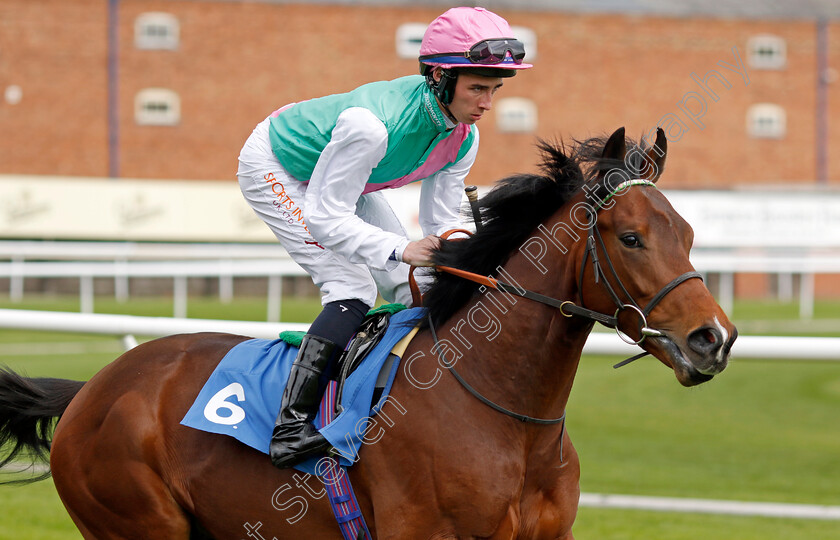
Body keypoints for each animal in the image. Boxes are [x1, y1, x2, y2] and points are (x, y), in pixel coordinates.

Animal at [0, 127, 736, 540]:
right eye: (631, 237)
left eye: (688, 232)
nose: (714, 338)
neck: (506, 417)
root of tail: (92, 389)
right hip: (134, 523)